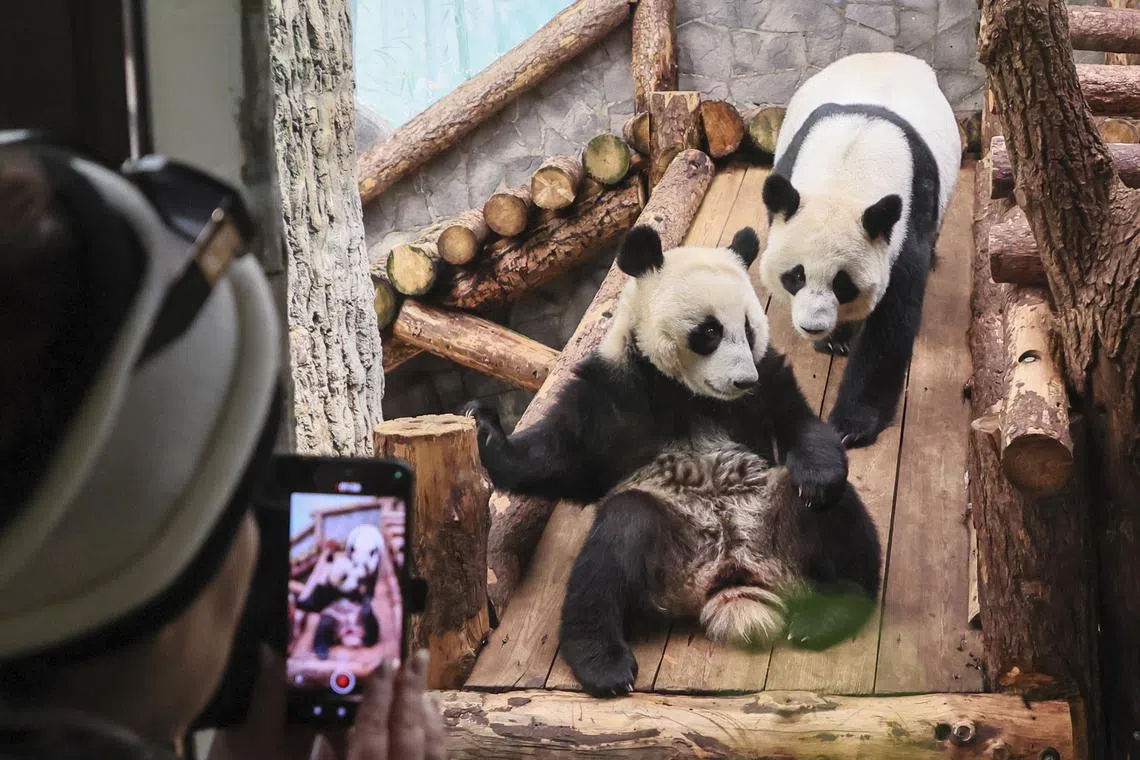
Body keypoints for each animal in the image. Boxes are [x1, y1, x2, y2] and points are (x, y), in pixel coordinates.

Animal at [466, 224, 882, 697]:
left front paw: (817, 477)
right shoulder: (612, 388)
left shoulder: (768, 377)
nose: (743, 380)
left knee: (837, 517)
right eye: (710, 330)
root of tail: (732, 578)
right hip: (669, 548)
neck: (688, 393)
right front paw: (483, 429)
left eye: (749, 329)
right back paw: (603, 664)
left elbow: (799, 422)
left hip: (773, 515)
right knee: (613, 548)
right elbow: (561, 458)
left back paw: (831, 612)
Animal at [758, 51, 962, 448]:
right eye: (795, 276)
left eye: (843, 284)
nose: (813, 326)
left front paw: (852, 424)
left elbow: (892, 319)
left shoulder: (907, 217)